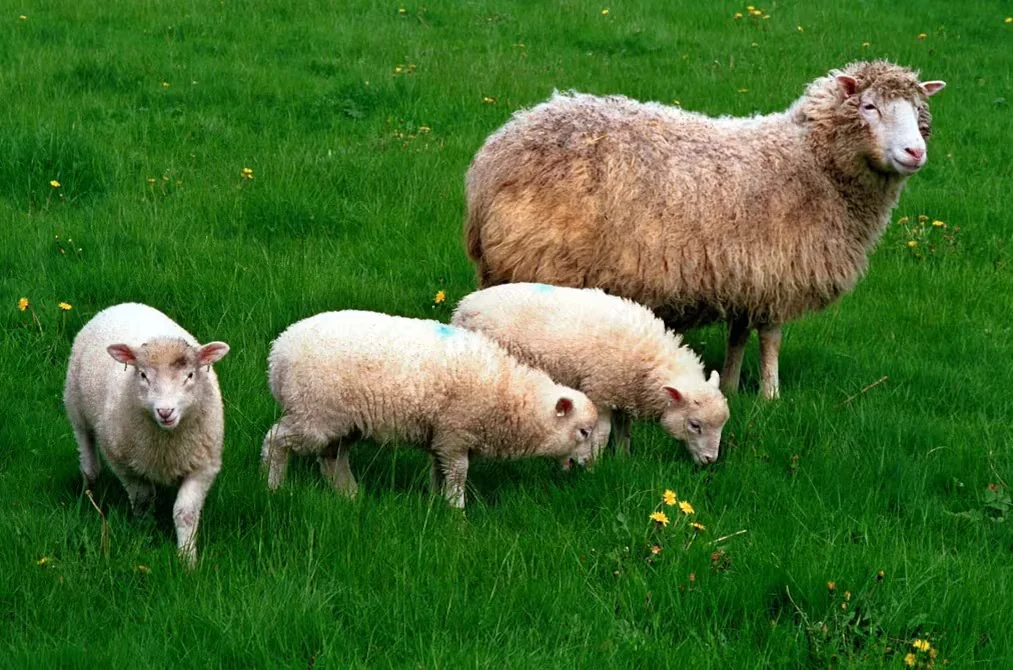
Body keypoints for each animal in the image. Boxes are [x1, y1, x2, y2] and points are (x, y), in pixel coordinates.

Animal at [63, 303, 230, 567]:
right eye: (143, 375)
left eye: (190, 375)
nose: (165, 411)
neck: (167, 442)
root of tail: (123, 304)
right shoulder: (125, 466)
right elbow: (142, 500)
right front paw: (144, 534)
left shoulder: (203, 465)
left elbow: (185, 513)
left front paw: (187, 559)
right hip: (75, 408)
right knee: (88, 458)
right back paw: (89, 491)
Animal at [261, 310, 599, 509]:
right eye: (583, 431)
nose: (588, 467)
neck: (511, 397)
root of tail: (277, 353)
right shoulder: (455, 433)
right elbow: (458, 474)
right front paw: (457, 512)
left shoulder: (441, 439)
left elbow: (439, 471)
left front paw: (438, 501)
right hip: (313, 413)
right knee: (275, 440)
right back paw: (273, 486)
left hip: (341, 422)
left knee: (332, 459)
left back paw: (351, 496)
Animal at [452, 283, 729, 465]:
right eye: (695, 425)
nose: (710, 460)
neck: (647, 358)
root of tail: (463, 306)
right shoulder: (601, 392)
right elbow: (602, 435)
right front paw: (595, 465)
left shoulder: (623, 395)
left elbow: (624, 431)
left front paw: (622, 459)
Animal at [464, 60, 946, 400]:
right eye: (869, 107)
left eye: (917, 111)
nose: (915, 152)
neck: (811, 162)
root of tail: (492, 157)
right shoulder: (779, 271)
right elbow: (771, 339)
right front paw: (771, 395)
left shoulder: (746, 276)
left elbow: (738, 335)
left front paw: (732, 385)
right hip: (538, 264)